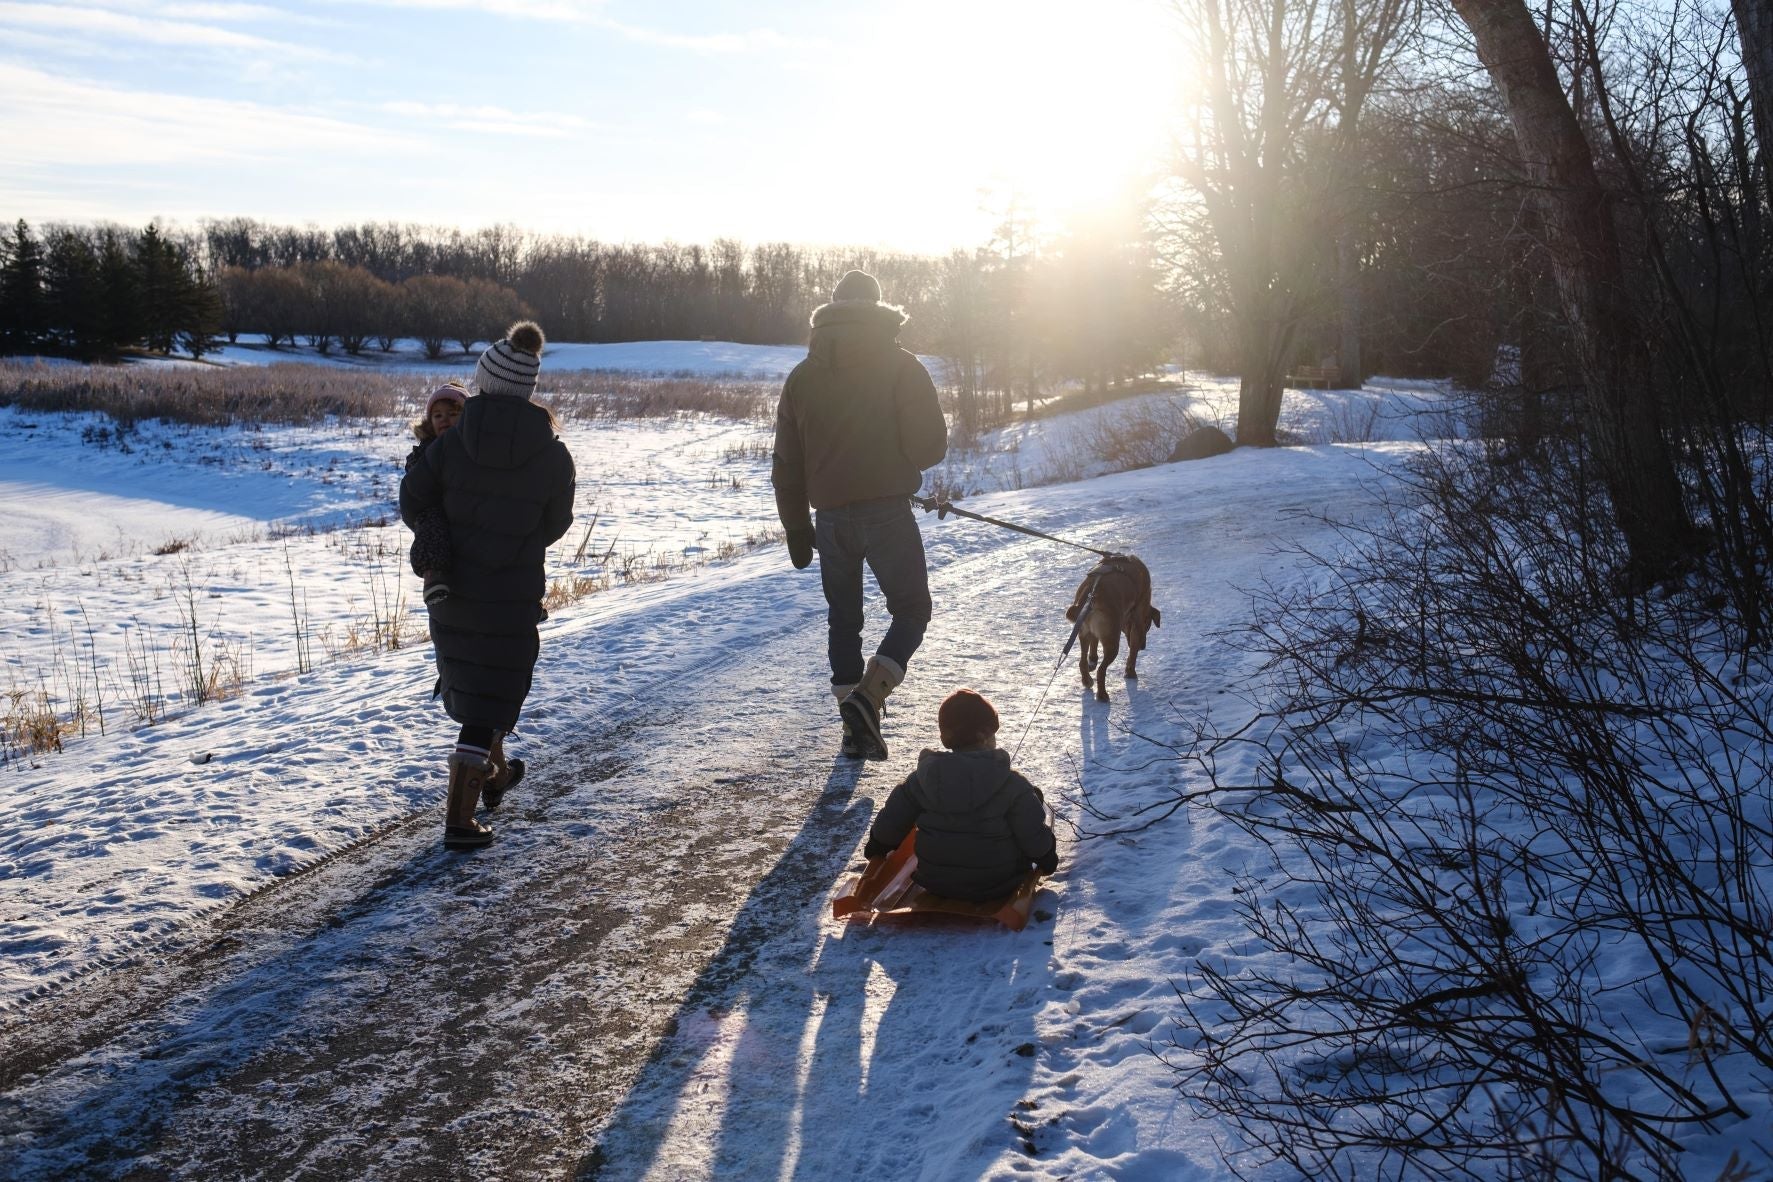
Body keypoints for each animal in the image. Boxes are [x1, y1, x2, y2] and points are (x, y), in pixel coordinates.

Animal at [1063, 556, 1163, 701]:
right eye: (1148, 626)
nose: (1143, 647)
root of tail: (1091, 597)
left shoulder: (1093, 632)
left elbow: (1094, 644)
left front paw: (1092, 660)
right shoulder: (1138, 621)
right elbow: (1133, 652)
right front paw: (1130, 672)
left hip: (1083, 632)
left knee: (1082, 662)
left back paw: (1087, 680)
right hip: (1112, 642)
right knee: (1101, 670)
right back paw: (1102, 695)